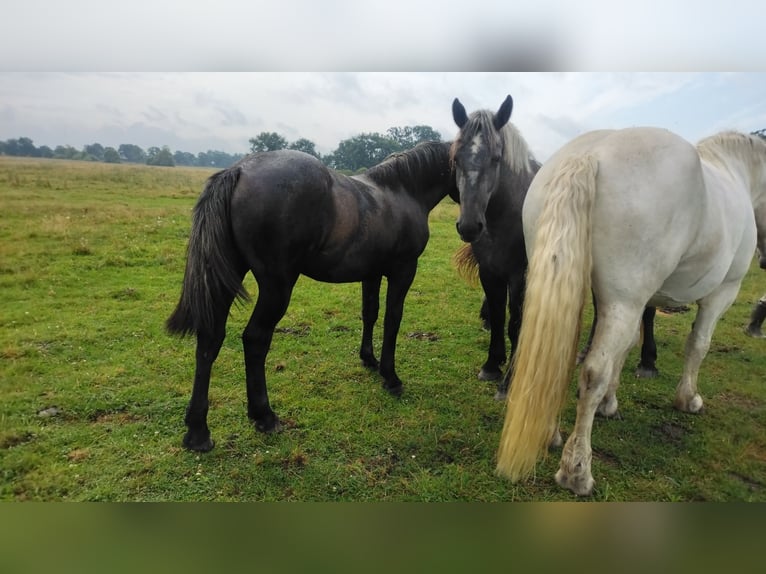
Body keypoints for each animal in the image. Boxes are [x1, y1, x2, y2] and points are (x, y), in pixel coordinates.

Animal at [166, 142, 456, 452]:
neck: (401, 191)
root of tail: (240, 170)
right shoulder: (403, 271)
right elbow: (392, 320)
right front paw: (391, 378)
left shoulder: (372, 273)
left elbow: (370, 313)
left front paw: (369, 359)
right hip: (277, 286)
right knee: (255, 339)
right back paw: (264, 416)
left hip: (225, 276)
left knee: (210, 339)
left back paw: (198, 432)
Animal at [452, 95, 664, 400]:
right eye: (456, 158)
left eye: (496, 158)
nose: (469, 226)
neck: (506, 215)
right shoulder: (489, 272)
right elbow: (497, 314)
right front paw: (491, 365)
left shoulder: (520, 276)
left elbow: (516, 324)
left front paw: (508, 382)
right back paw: (586, 352)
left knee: (646, 311)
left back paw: (647, 362)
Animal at [498, 128, 766, 498]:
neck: (735, 173)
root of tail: (590, 154)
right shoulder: (721, 293)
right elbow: (698, 344)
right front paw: (688, 399)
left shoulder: (641, 301)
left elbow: (624, 351)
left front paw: (610, 403)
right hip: (624, 300)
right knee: (591, 373)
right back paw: (576, 471)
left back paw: (550, 435)